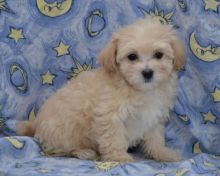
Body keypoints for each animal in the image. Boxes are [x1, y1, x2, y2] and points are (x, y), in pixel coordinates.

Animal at [16, 18, 185, 163]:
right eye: (132, 56)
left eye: (159, 54)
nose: (147, 72)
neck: (139, 89)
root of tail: (36, 125)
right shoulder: (110, 116)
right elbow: (114, 138)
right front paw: (119, 157)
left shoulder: (154, 118)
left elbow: (155, 139)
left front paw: (163, 153)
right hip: (63, 131)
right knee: (59, 149)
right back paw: (83, 152)